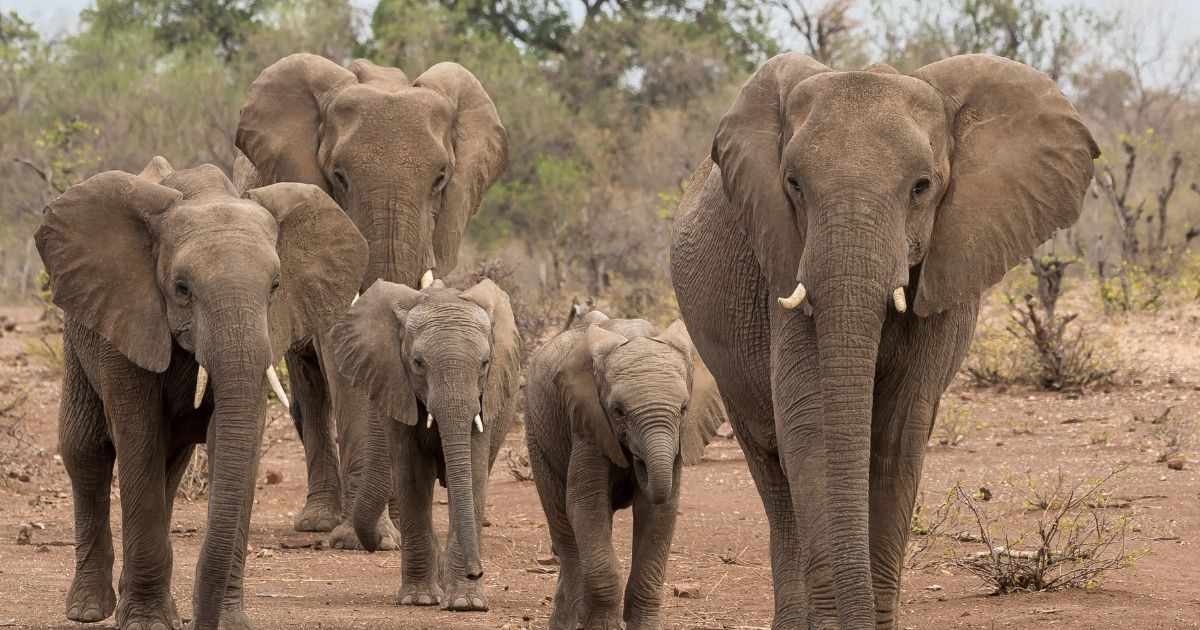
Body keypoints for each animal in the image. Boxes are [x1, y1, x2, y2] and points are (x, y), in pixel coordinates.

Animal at [36, 157, 366, 630]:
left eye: (275, 287)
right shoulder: (128, 322)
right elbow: (138, 437)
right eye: (182, 288)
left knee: (170, 465)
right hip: (79, 336)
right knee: (86, 450)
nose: (200, 622)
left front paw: (226, 622)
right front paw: (146, 624)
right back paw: (88, 611)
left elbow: (235, 441)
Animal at [233, 53, 509, 549]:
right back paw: (320, 522)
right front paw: (361, 538)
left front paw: (394, 531)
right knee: (309, 382)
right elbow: (342, 358)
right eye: (338, 176)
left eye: (441, 178)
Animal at [325, 278, 521, 611]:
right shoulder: (397, 388)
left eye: (485, 363)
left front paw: (465, 604)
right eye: (418, 363)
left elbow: (472, 472)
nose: (477, 571)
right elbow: (412, 474)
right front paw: (419, 599)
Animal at [524, 311, 727, 630]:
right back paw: (570, 622)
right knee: (563, 525)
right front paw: (601, 628)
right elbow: (586, 506)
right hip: (537, 433)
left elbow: (659, 512)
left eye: (684, 409)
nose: (636, 462)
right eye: (618, 411)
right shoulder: (589, 422)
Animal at [669, 53, 1098, 629]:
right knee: (771, 466)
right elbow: (811, 422)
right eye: (793, 184)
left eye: (922, 186)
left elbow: (899, 430)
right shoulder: (783, 260)